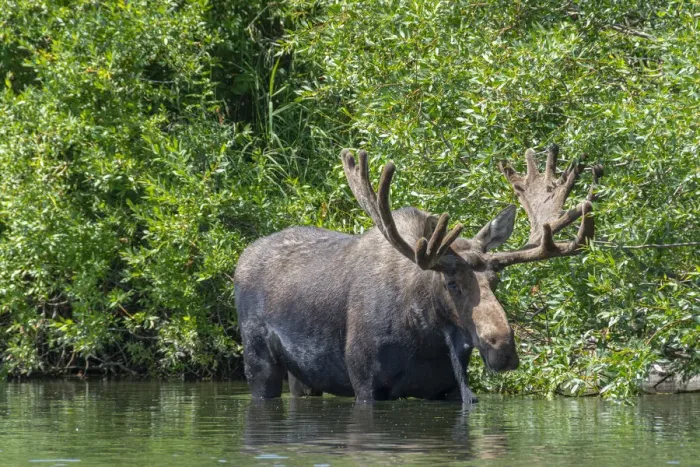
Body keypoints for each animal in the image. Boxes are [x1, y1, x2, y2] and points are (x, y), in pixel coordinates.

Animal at [234, 145, 600, 403]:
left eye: (496, 281)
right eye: (451, 284)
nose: (504, 349)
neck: (425, 335)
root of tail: (242, 257)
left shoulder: (447, 390)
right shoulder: (365, 383)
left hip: (303, 376)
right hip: (258, 362)